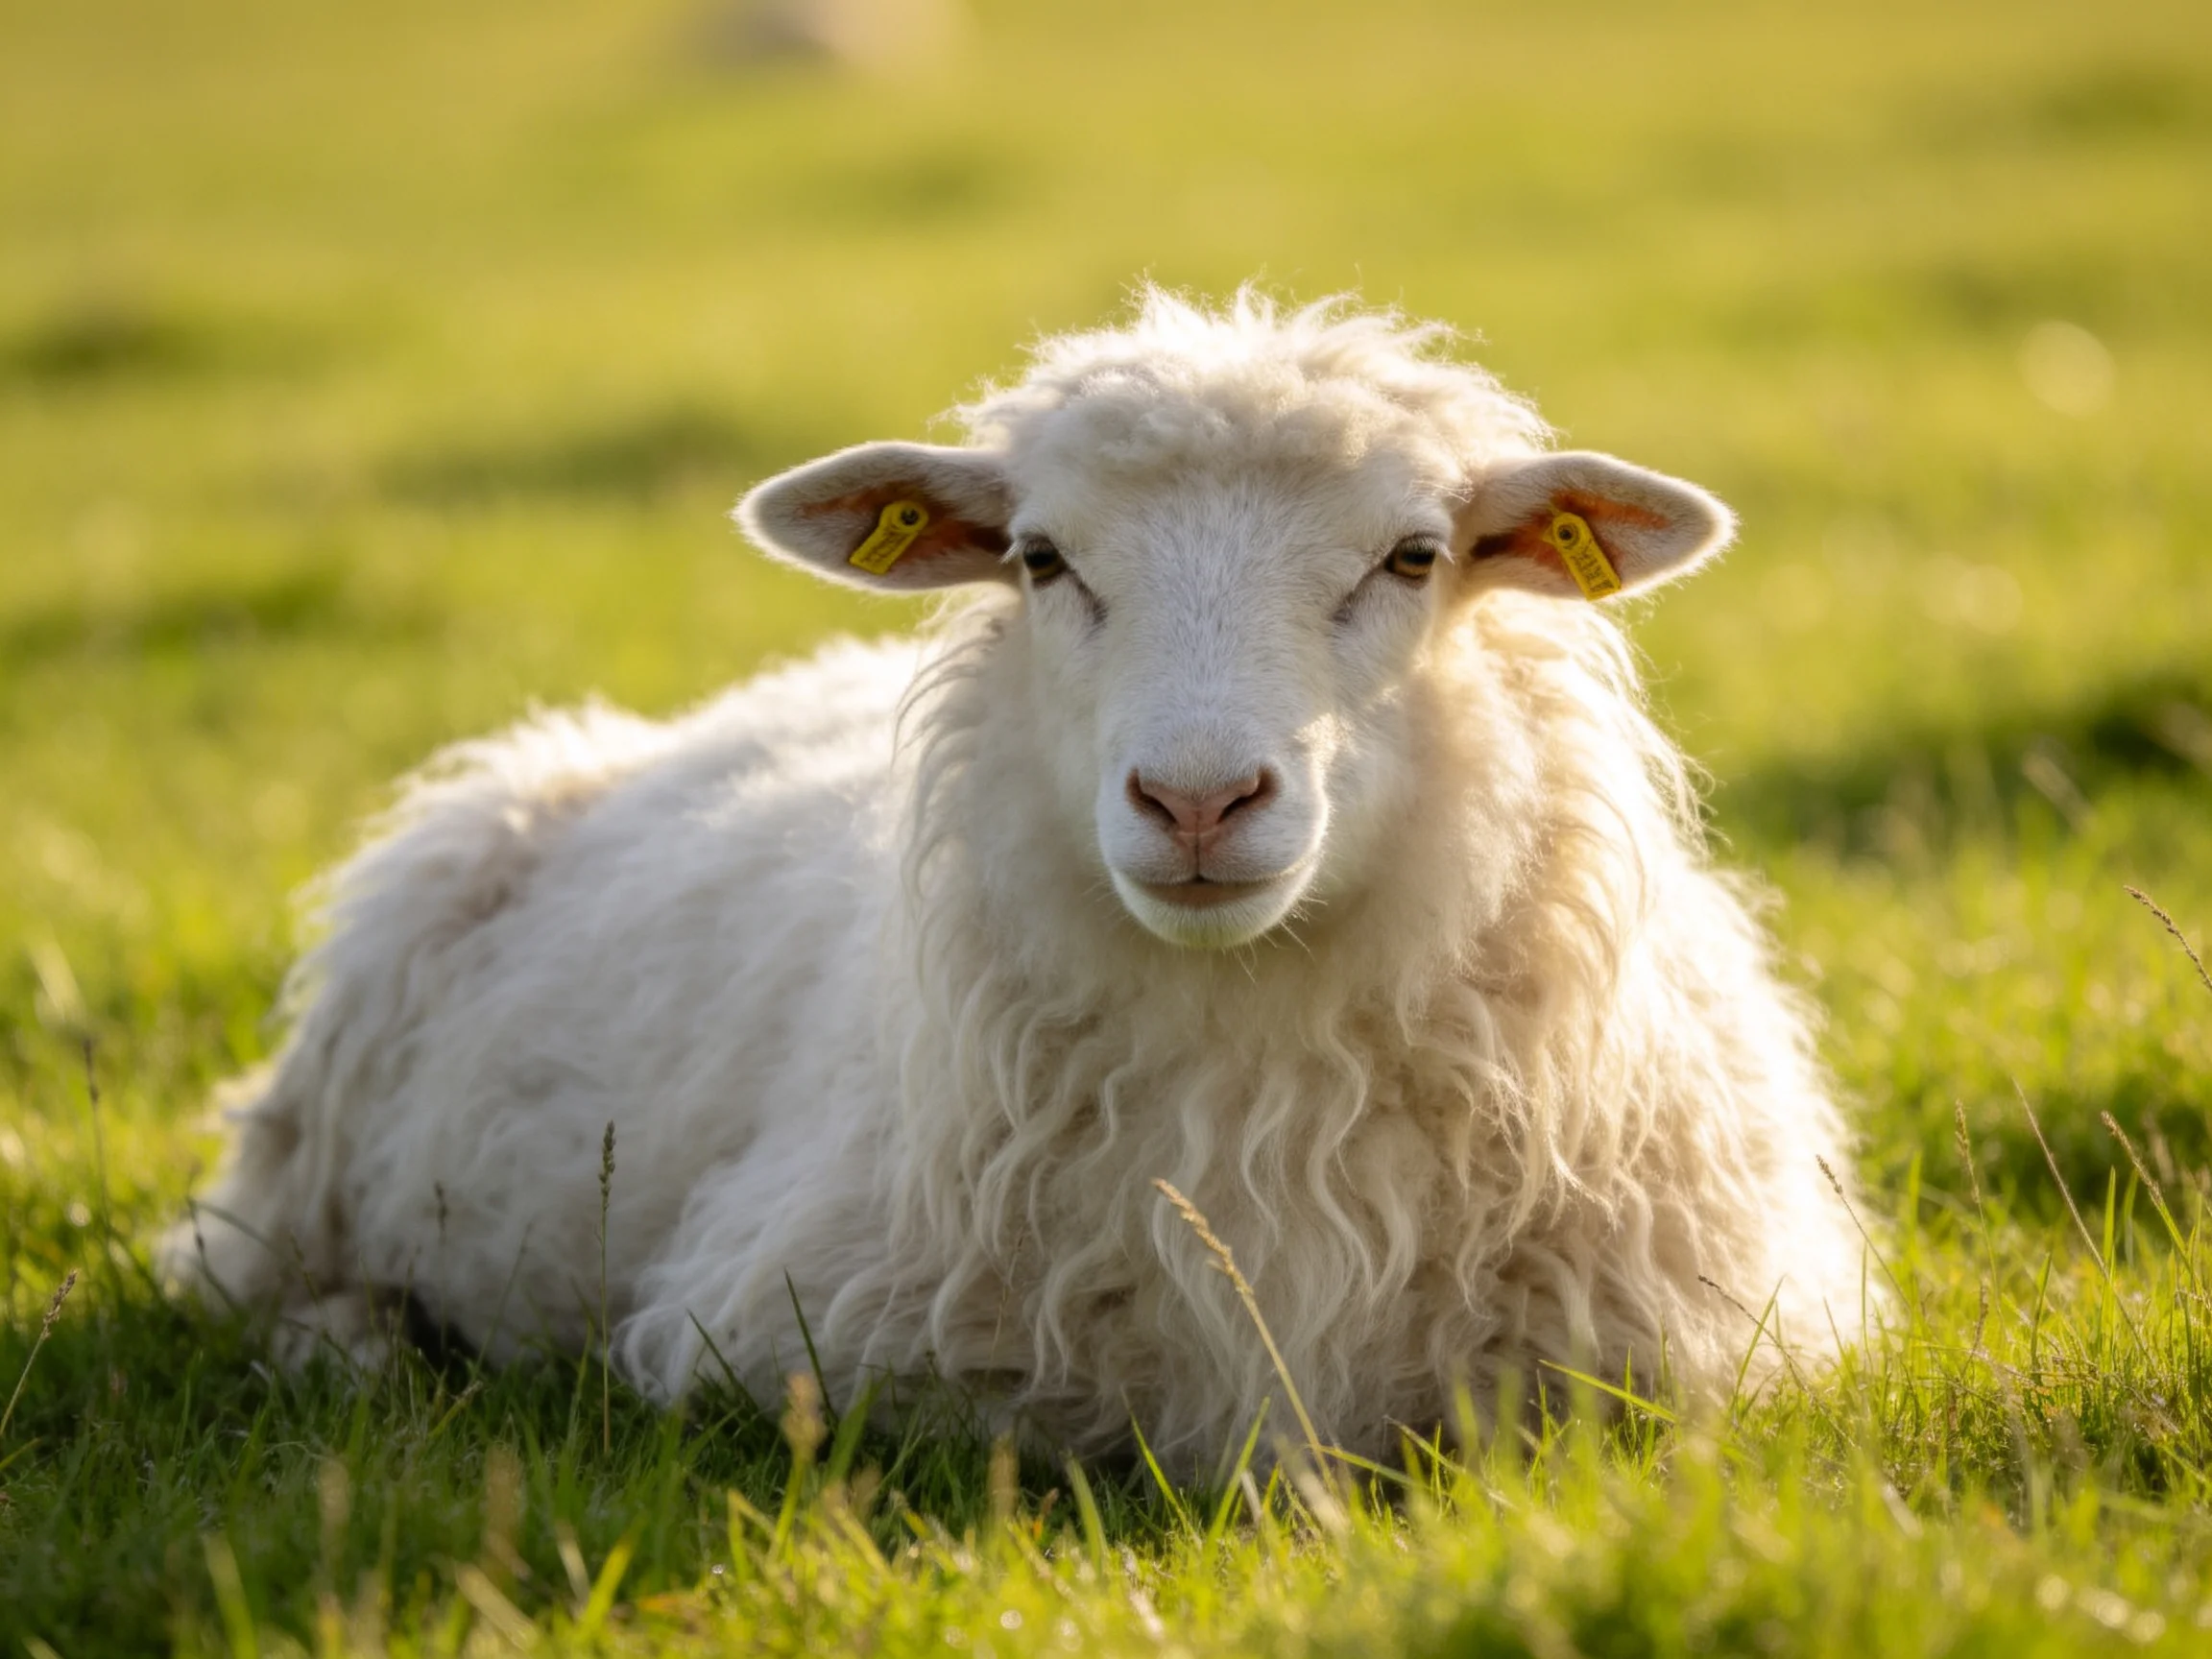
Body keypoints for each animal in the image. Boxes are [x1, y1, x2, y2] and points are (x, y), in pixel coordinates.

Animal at [163, 287, 1867, 1466]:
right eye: (1044, 560)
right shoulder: (810, 1346)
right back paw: (359, 1354)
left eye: (1413, 557)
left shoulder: (1692, 1359)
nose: (1198, 799)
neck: (1251, 1068)